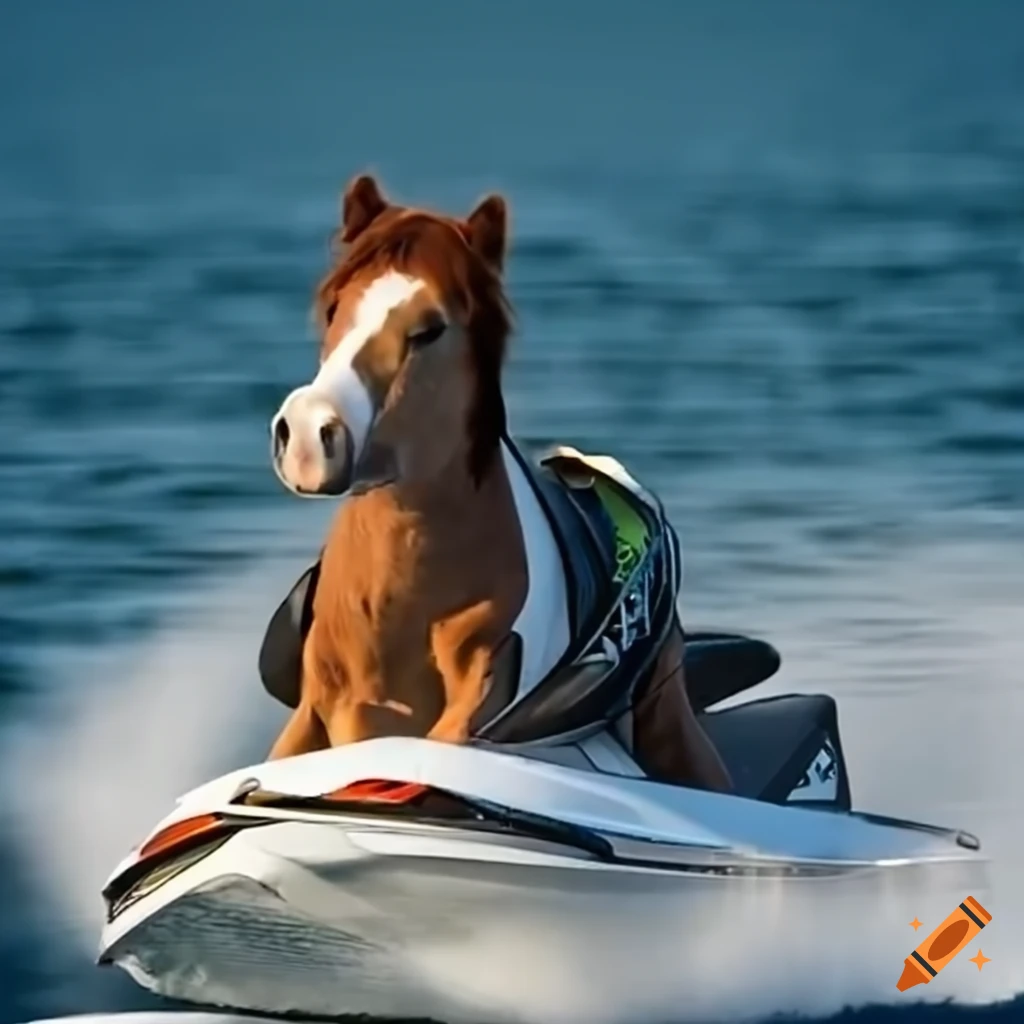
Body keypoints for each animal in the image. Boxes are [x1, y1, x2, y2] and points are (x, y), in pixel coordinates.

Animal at [259, 173, 732, 793]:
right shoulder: (320, 715)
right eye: (335, 305)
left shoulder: (470, 713)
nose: (309, 437)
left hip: (670, 726)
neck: (403, 608)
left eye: (429, 329)